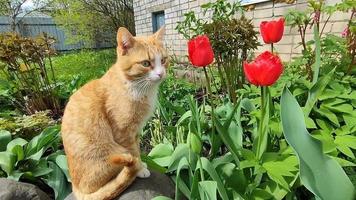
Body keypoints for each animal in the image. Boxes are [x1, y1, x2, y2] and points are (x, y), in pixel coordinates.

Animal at [62, 27, 169, 200]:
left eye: (164, 60)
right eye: (146, 63)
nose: (161, 74)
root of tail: (75, 187)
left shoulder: (135, 132)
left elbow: (137, 150)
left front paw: (140, 164)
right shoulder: (124, 133)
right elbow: (134, 152)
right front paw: (140, 169)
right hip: (114, 151)